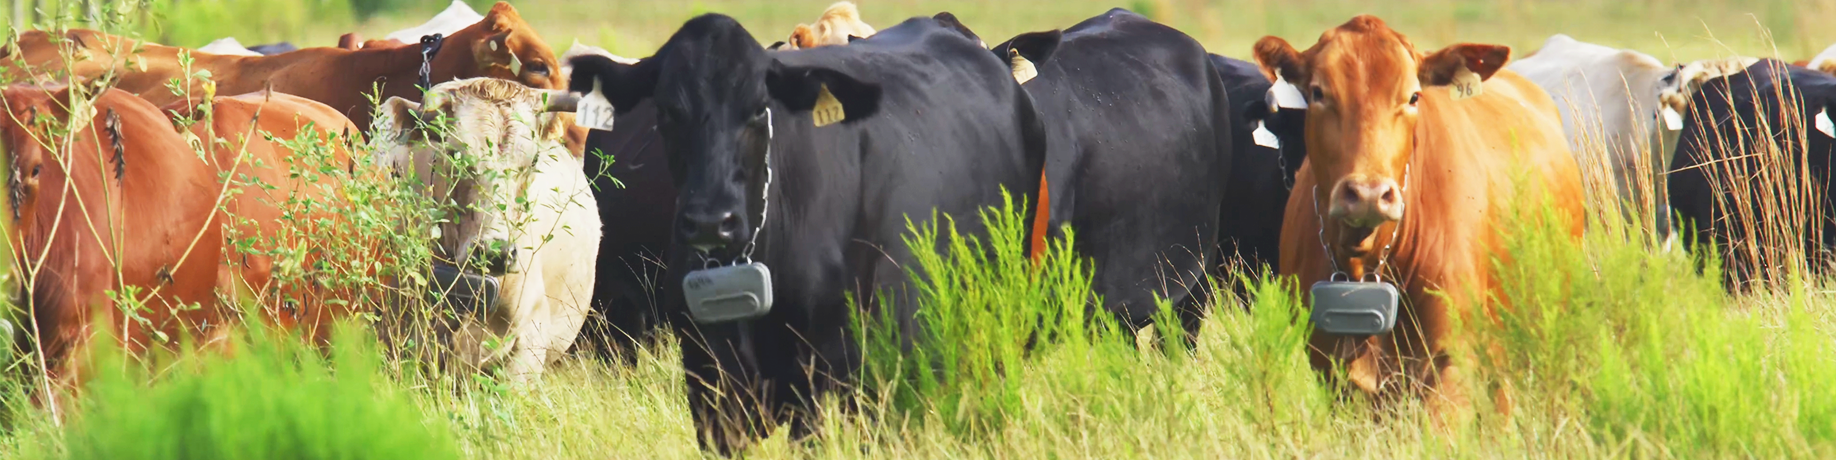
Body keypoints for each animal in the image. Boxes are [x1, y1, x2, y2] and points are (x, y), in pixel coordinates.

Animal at [1254, 15, 1585, 416]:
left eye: (1413, 96)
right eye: (1318, 93)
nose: (1368, 194)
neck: (1368, 264)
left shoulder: (1450, 361)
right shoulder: (1331, 370)